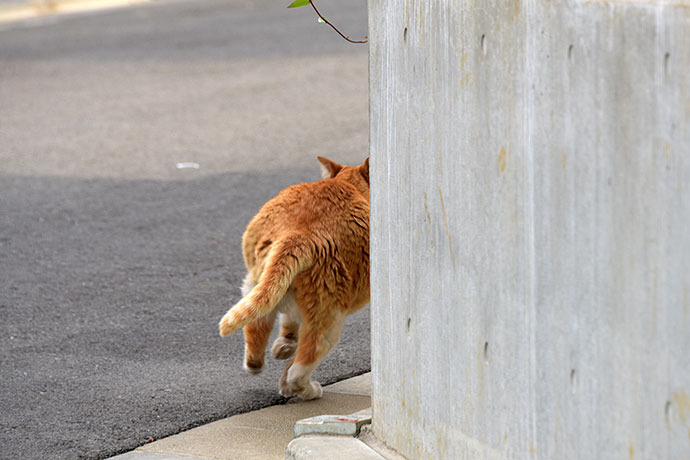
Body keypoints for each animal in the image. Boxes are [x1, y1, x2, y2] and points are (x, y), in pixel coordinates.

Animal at [218, 157, 368, 398]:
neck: (353, 187)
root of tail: (297, 234)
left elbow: (289, 324)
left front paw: (285, 345)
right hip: (330, 316)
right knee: (301, 365)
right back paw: (306, 390)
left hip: (257, 285)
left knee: (256, 333)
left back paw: (259, 364)